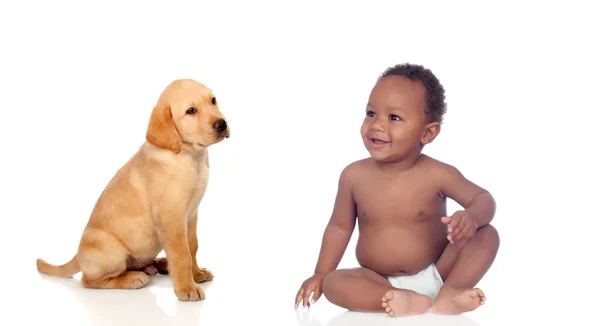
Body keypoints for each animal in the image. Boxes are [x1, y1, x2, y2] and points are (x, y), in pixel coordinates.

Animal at [37, 78, 230, 300]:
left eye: (213, 100)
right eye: (190, 111)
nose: (222, 124)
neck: (190, 156)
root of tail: (77, 256)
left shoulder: (191, 214)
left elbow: (193, 246)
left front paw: (196, 274)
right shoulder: (172, 219)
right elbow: (182, 254)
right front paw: (186, 288)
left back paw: (161, 264)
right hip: (111, 251)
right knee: (90, 280)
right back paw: (133, 278)